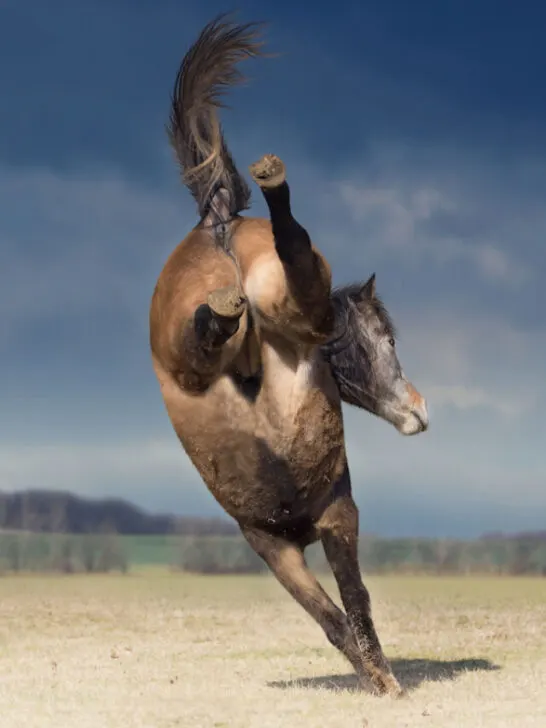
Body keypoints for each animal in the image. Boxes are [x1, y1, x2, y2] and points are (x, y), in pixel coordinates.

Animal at [149, 14, 429, 697]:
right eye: (388, 339)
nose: (419, 408)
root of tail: (218, 225)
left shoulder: (283, 546)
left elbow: (335, 617)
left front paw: (375, 678)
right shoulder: (323, 526)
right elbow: (349, 607)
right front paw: (386, 685)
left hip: (192, 343)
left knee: (212, 327)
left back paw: (225, 304)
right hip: (289, 311)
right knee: (297, 259)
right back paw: (274, 187)